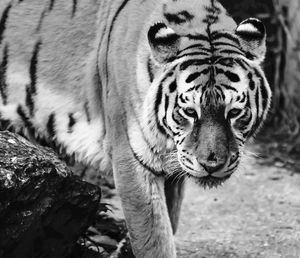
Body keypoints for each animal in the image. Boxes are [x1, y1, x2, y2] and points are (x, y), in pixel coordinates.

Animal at [0, 0, 272, 256]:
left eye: (234, 112)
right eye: (189, 112)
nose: (212, 164)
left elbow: (169, 222)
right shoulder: (132, 160)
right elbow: (154, 240)